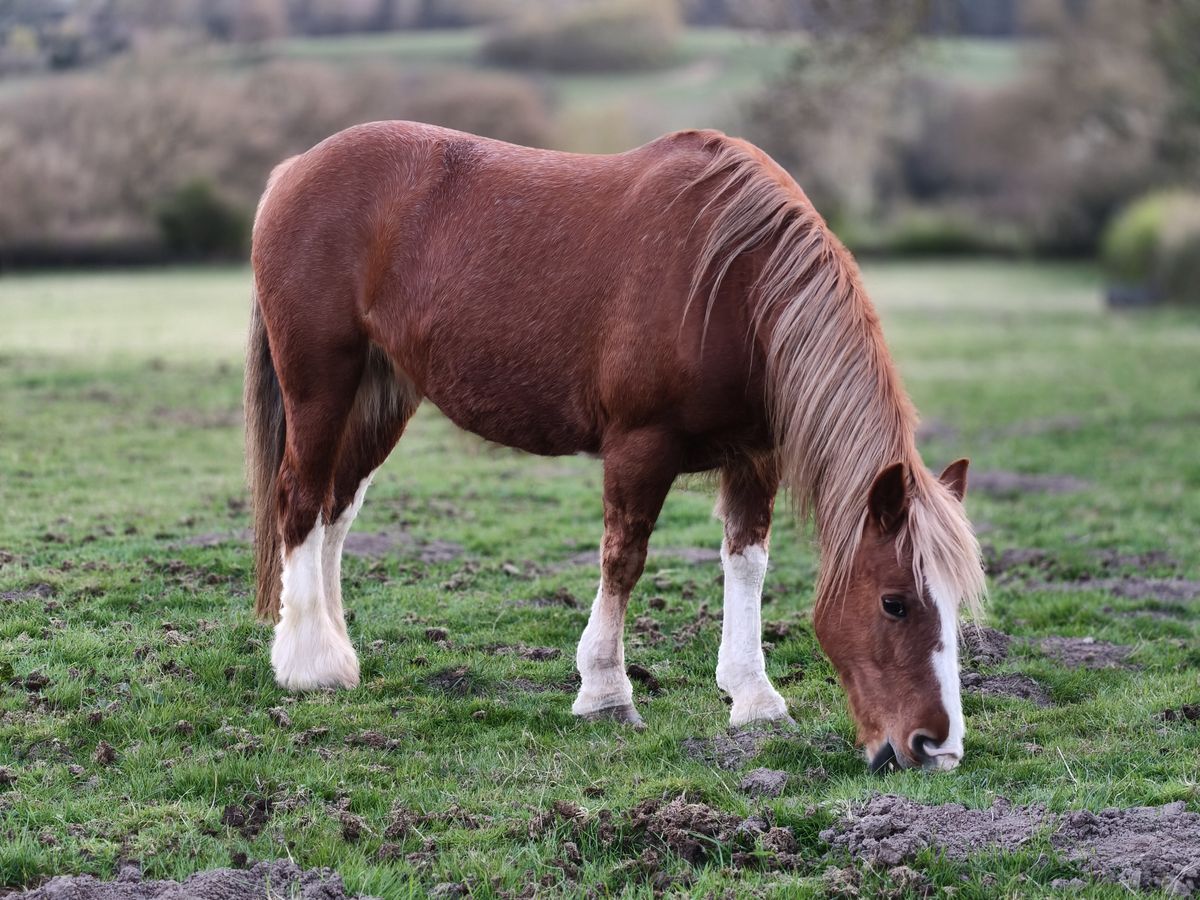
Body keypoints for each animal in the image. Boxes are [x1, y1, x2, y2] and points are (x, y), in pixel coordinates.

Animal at [244, 121, 986, 772]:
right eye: (894, 602)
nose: (936, 748)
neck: (733, 285)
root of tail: (294, 169)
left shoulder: (755, 458)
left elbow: (746, 563)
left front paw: (753, 696)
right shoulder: (640, 446)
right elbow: (623, 560)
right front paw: (605, 692)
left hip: (382, 392)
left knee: (336, 509)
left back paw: (338, 651)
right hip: (321, 384)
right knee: (301, 499)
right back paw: (310, 665)